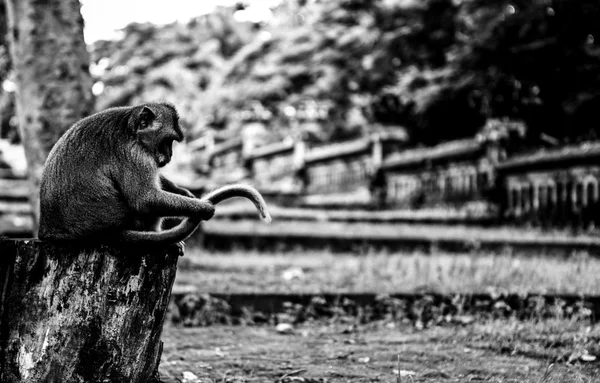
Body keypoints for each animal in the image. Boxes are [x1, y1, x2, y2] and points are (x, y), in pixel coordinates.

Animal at [39, 102, 270, 246]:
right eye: (168, 141)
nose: (170, 155)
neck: (130, 129)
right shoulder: (134, 154)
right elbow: (145, 200)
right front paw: (203, 207)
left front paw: (184, 193)